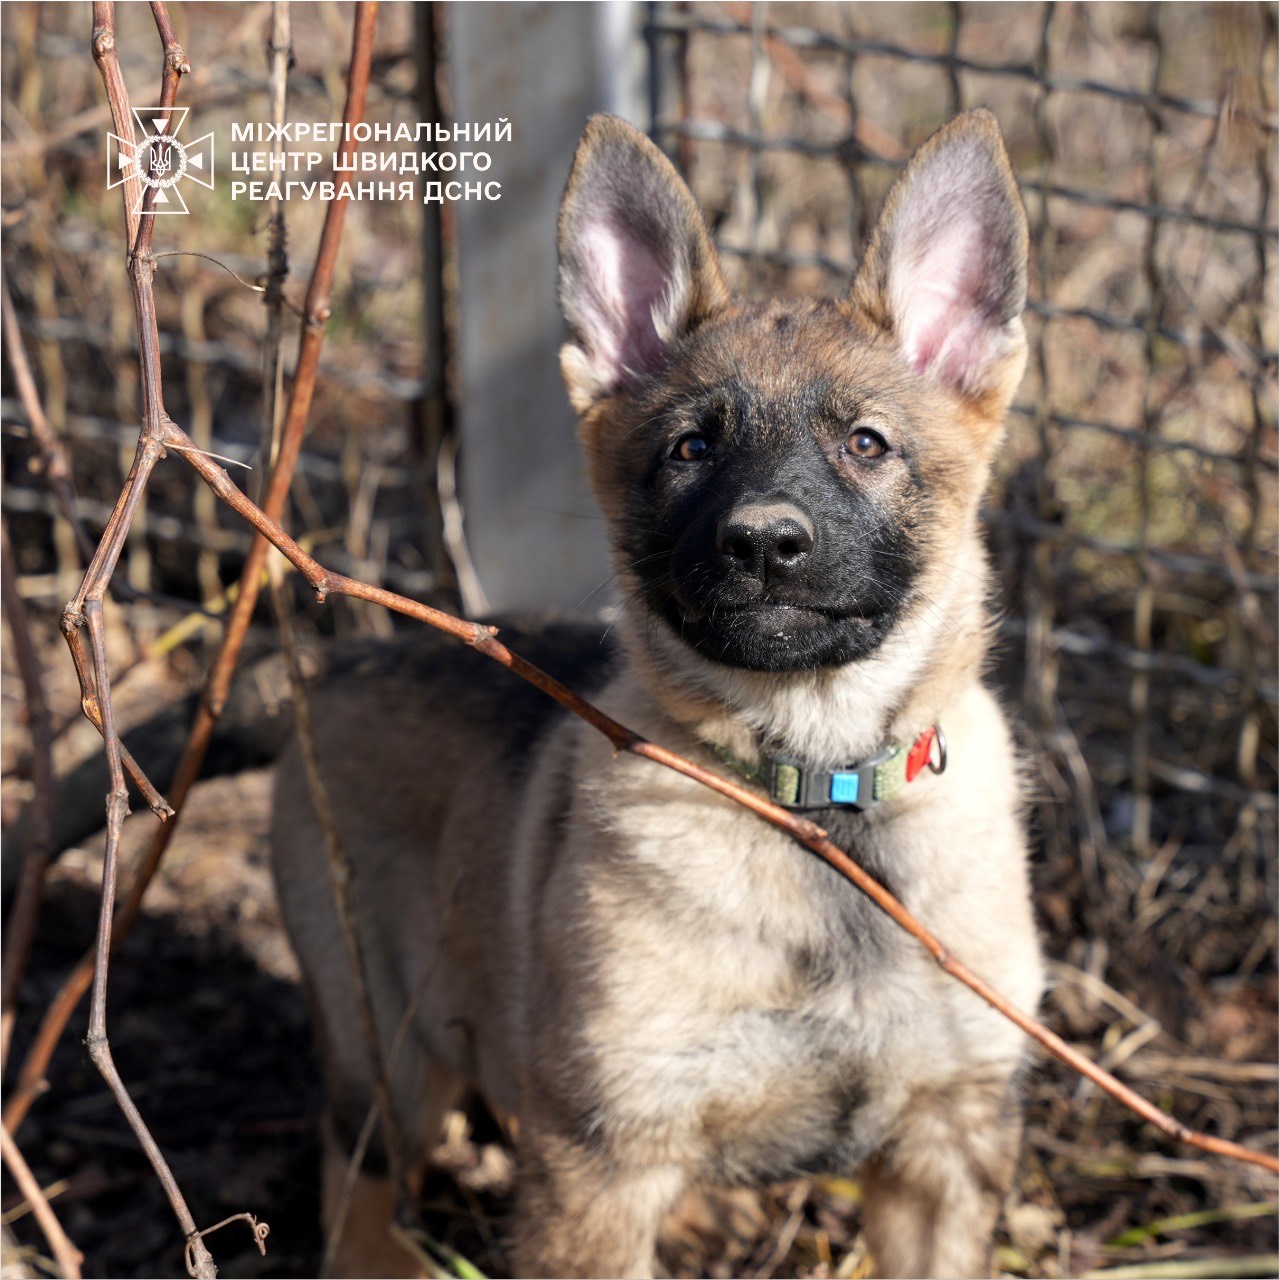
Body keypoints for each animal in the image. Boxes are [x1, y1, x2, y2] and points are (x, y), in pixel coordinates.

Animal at [275, 112, 1044, 1280]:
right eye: (691, 448)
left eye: (865, 443)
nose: (763, 543)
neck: (816, 794)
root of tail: (341, 668)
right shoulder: (597, 1158)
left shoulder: (944, 1149)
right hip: (389, 1046)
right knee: (352, 1170)